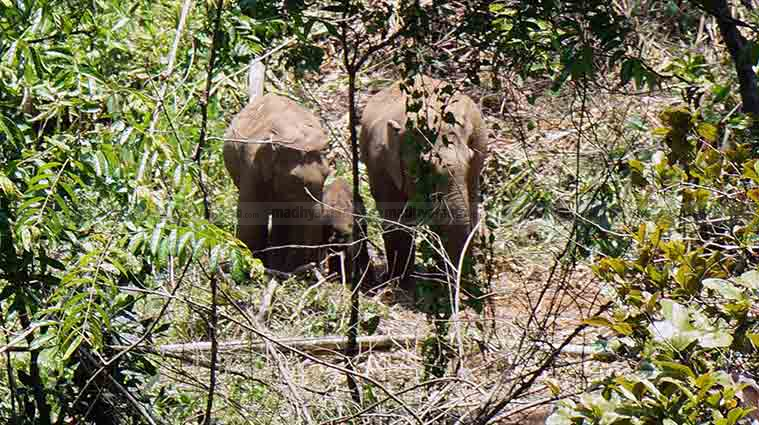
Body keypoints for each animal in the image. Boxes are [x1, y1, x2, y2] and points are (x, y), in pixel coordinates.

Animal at [226, 93, 332, 272]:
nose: (314, 265)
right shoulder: (252, 169)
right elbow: (252, 220)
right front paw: (251, 267)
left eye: (327, 175)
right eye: (295, 181)